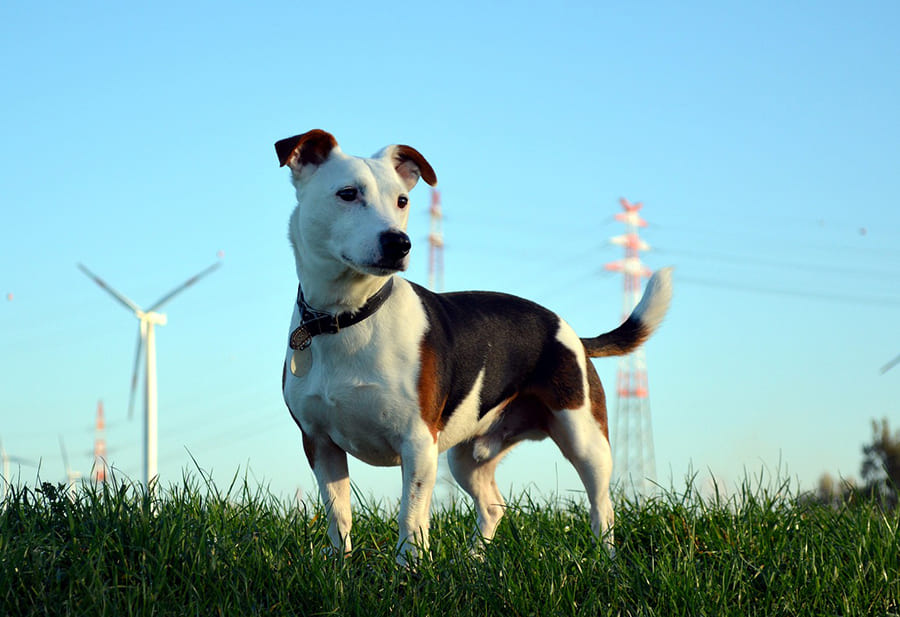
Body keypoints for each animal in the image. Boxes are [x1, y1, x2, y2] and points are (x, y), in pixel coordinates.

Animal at [278, 130, 672, 564]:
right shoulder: (319, 442)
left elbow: (410, 517)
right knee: (494, 506)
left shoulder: (418, 444)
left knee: (602, 506)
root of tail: (569, 331)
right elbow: (339, 515)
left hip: (585, 438)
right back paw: (473, 559)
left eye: (402, 201)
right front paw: (339, 566)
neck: (348, 316)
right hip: (466, 456)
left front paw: (409, 569)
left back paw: (605, 561)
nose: (399, 243)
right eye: (347, 194)